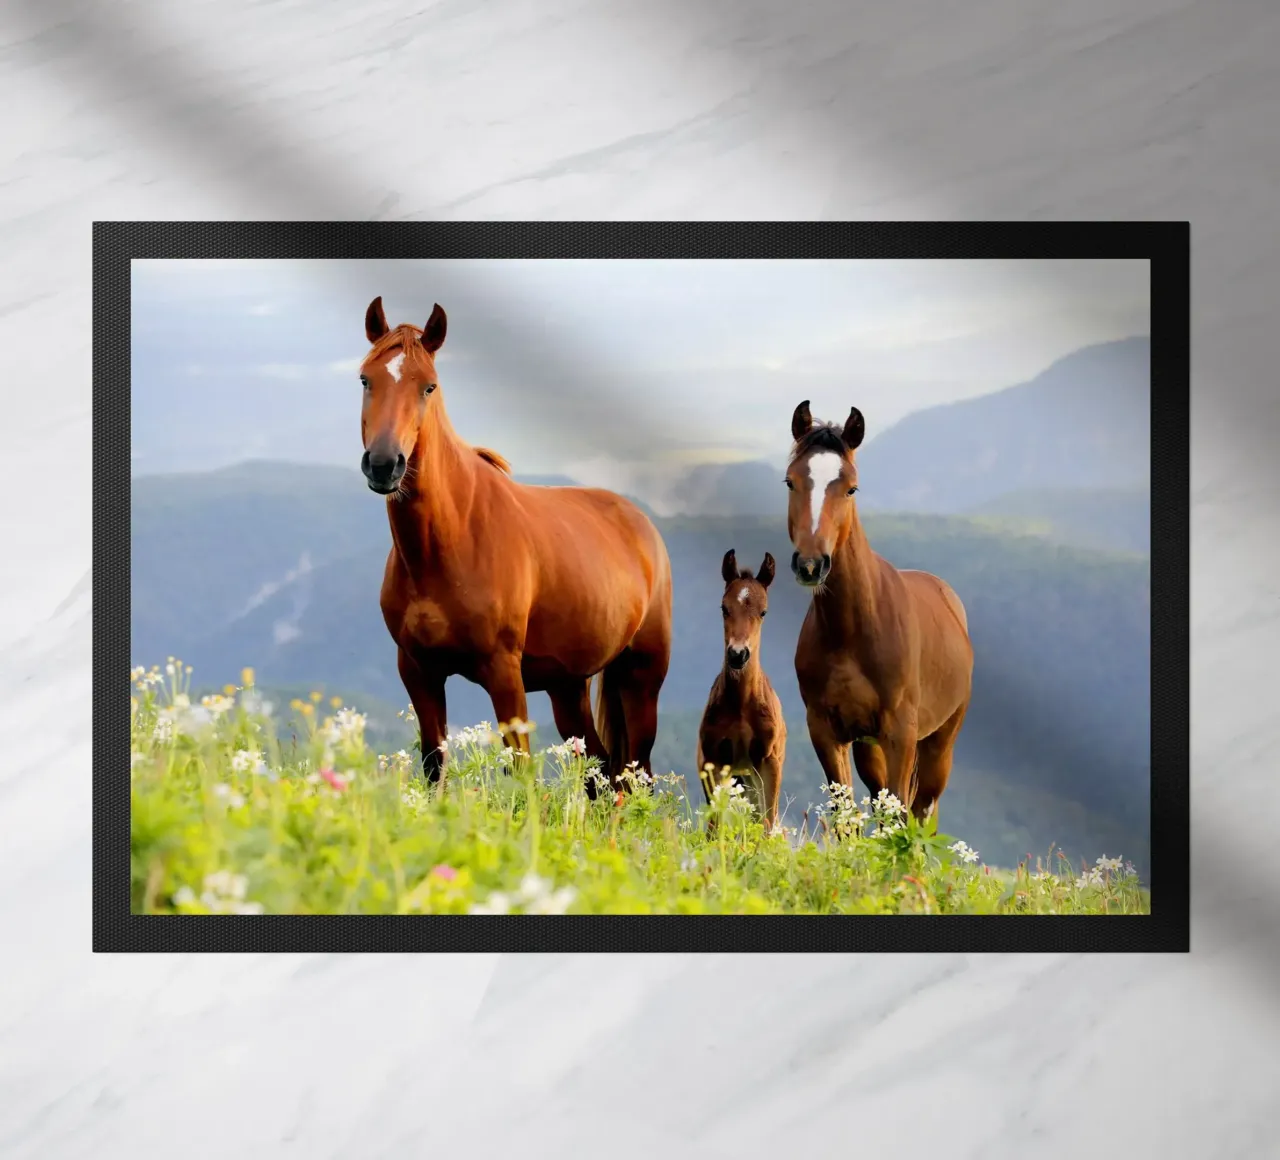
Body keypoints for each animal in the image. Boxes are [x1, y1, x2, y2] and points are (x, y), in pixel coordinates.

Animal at [357, 296, 673, 794]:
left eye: (428, 387)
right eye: (366, 379)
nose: (386, 465)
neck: (447, 544)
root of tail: (642, 525)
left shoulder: (504, 673)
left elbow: (522, 773)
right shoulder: (418, 671)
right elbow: (433, 766)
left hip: (642, 677)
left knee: (634, 776)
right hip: (568, 687)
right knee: (601, 773)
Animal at [695, 550, 787, 834]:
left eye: (763, 611)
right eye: (724, 608)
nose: (737, 654)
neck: (742, 706)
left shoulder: (769, 761)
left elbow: (767, 824)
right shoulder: (713, 760)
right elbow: (715, 825)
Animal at [784, 400, 973, 823]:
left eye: (851, 487)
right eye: (790, 482)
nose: (811, 565)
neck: (852, 631)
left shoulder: (900, 733)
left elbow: (902, 813)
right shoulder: (827, 731)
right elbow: (845, 815)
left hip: (940, 742)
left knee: (923, 810)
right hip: (869, 748)